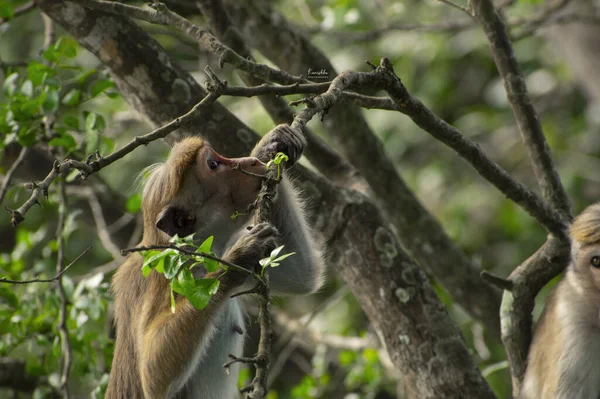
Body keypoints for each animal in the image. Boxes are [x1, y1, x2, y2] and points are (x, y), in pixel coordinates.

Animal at [106, 126, 324, 399]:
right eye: (213, 165)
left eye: (219, 157)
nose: (249, 162)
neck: (193, 253)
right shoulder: (167, 278)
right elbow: (154, 377)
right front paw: (238, 259)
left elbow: (302, 275)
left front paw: (270, 146)